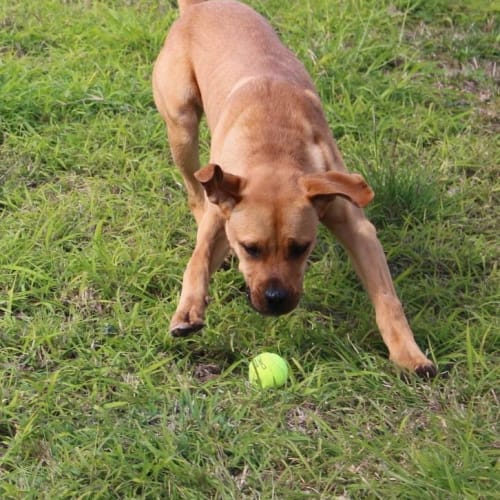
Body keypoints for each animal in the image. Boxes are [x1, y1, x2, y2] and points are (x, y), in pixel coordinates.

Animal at [152, 0, 438, 376]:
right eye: (250, 249)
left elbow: (387, 298)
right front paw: (188, 310)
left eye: (301, 248)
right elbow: (198, 259)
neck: (273, 145)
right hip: (182, 126)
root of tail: (200, 6)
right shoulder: (223, 209)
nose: (276, 300)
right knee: (193, 191)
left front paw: (409, 354)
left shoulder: (351, 220)